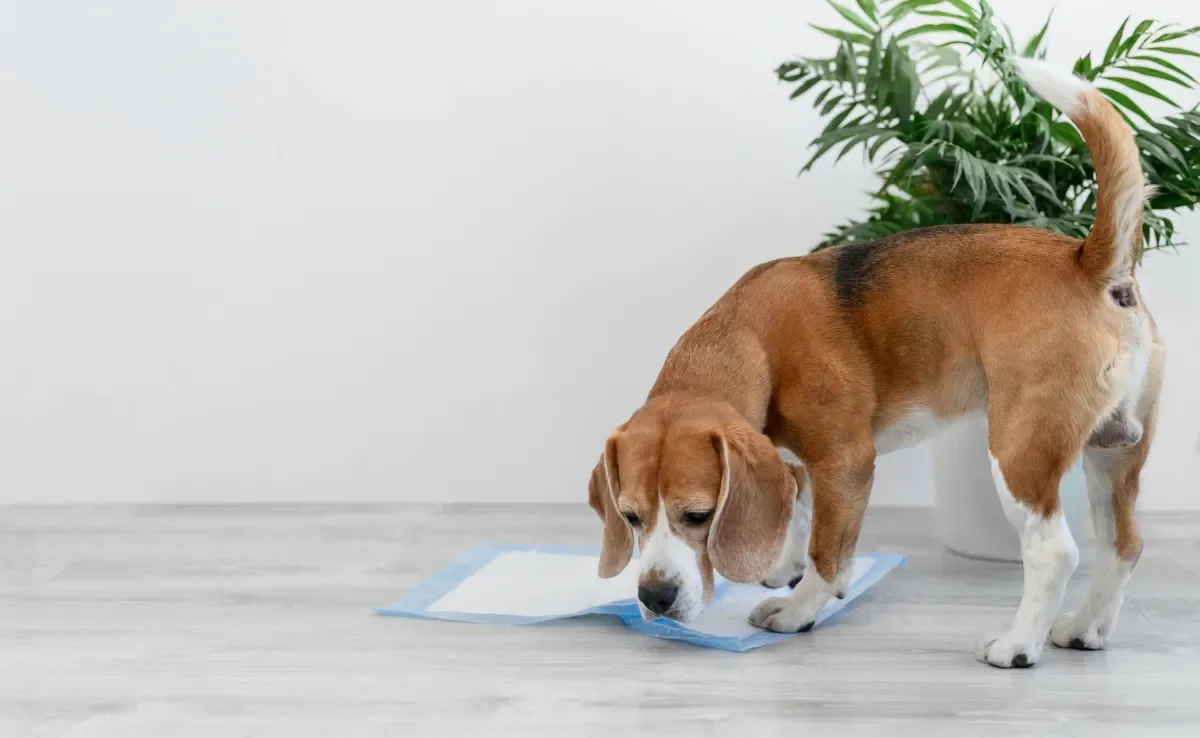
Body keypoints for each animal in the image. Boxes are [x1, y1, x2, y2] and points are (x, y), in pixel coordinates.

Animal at [585, 60, 1166, 667]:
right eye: (629, 516)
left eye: (697, 515)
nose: (655, 597)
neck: (750, 337)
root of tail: (1088, 262)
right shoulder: (792, 460)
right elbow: (796, 513)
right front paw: (781, 566)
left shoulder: (845, 462)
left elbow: (828, 551)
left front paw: (799, 607)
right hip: (1114, 452)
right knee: (1123, 545)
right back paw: (1085, 628)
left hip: (1019, 451)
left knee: (1054, 551)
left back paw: (1016, 645)